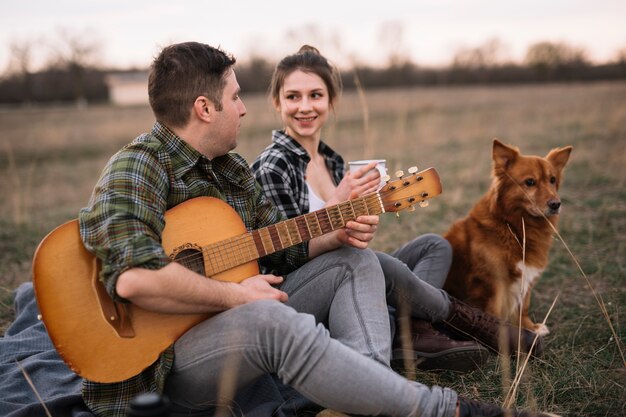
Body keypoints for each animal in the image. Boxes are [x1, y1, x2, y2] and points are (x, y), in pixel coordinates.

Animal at [442, 138, 568, 336]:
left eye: (552, 180)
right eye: (530, 182)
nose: (556, 204)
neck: (514, 227)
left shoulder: (526, 276)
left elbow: (523, 307)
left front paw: (529, 328)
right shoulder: (492, 282)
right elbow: (493, 311)